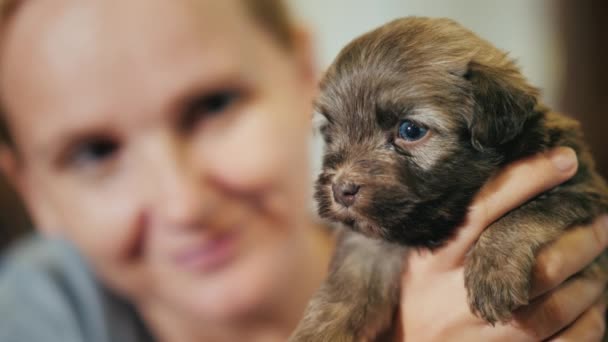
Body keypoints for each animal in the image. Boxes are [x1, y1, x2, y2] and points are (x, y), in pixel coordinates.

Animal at [288, 16, 608, 342]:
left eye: (410, 130)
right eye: (329, 132)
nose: (340, 190)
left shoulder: (580, 185)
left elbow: (526, 211)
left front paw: (492, 267)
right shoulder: (371, 238)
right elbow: (350, 277)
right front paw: (321, 329)